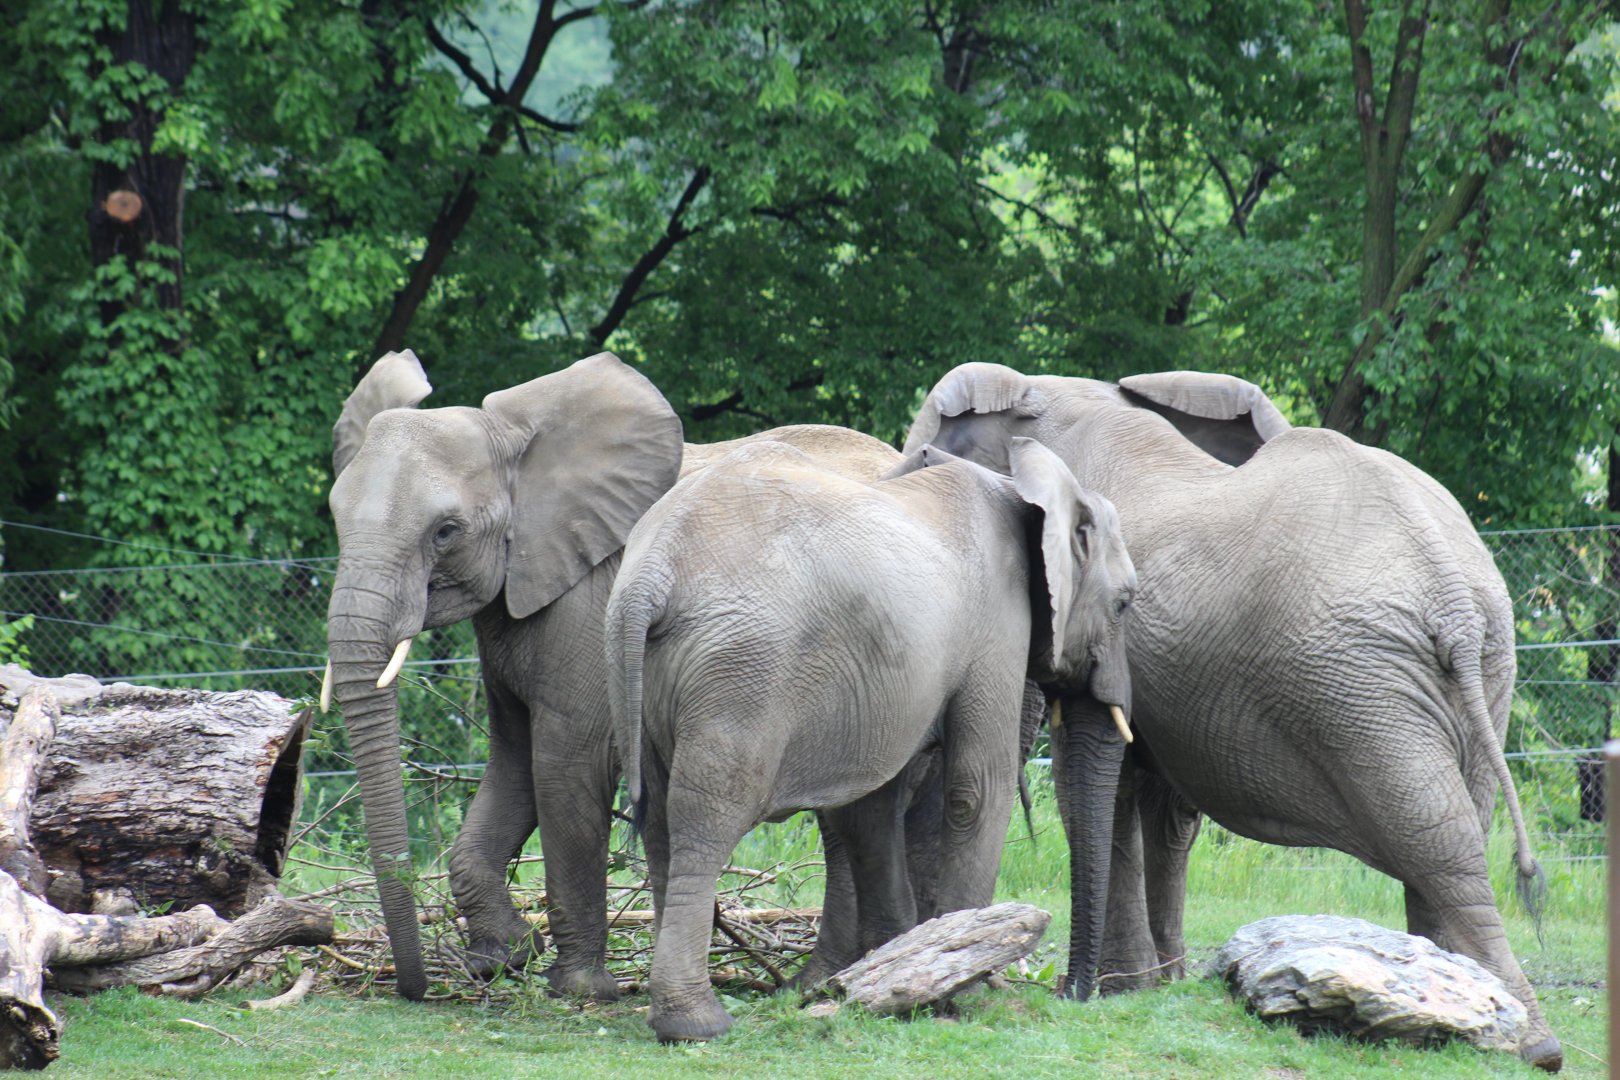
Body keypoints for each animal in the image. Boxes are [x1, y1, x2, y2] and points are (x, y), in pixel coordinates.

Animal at [324, 349, 904, 1001]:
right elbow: (512, 761)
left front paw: (576, 988)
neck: (521, 451)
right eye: (335, 517)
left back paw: (824, 979)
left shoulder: (587, 606)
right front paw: (502, 956)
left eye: (445, 531)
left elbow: (562, 764)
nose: (415, 988)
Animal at [605, 436, 1136, 1042]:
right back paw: (699, 1024)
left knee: (661, 821)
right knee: (709, 814)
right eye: (1124, 603)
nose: (1073, 995)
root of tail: (653, 573)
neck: (1022, 485)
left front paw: (893, 968)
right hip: (741, 671)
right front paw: (967, 985)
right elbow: (978, 788)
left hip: (638, 670)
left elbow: (869, 808)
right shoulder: (999, 623)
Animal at [905, 363, 1561, 1071]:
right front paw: (1155, 984)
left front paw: (1122, 988)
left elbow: (1112, 791)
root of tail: (1453, 600)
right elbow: (1166, 816)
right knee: (1455, 829)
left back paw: (1526, 1043)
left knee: (1438, 841)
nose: (1065, 991)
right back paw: (1478, 1012)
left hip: (1364, 683)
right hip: (1479, 669)